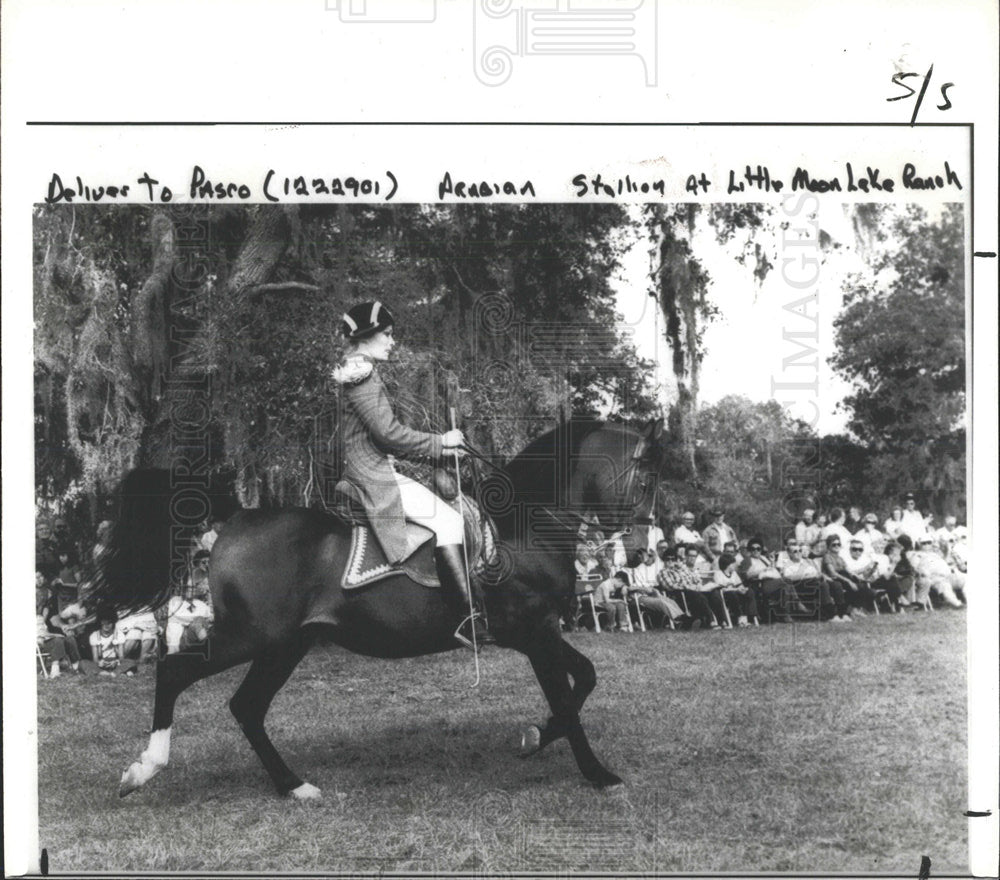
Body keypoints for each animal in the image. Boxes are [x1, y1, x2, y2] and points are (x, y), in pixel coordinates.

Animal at [94, 418, 664, 796]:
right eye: (646, 478)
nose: (641, 550)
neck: (526, 527)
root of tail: (237, 518)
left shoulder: (537, 633)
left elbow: (584, 678)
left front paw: (536, 737)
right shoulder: (535, 632)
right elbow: (568, 698)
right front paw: (596, 772)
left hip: (287, 645)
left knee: (247, 707)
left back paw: (294, 786)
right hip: (251, 637)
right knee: (174, 672)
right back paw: (144, 769)